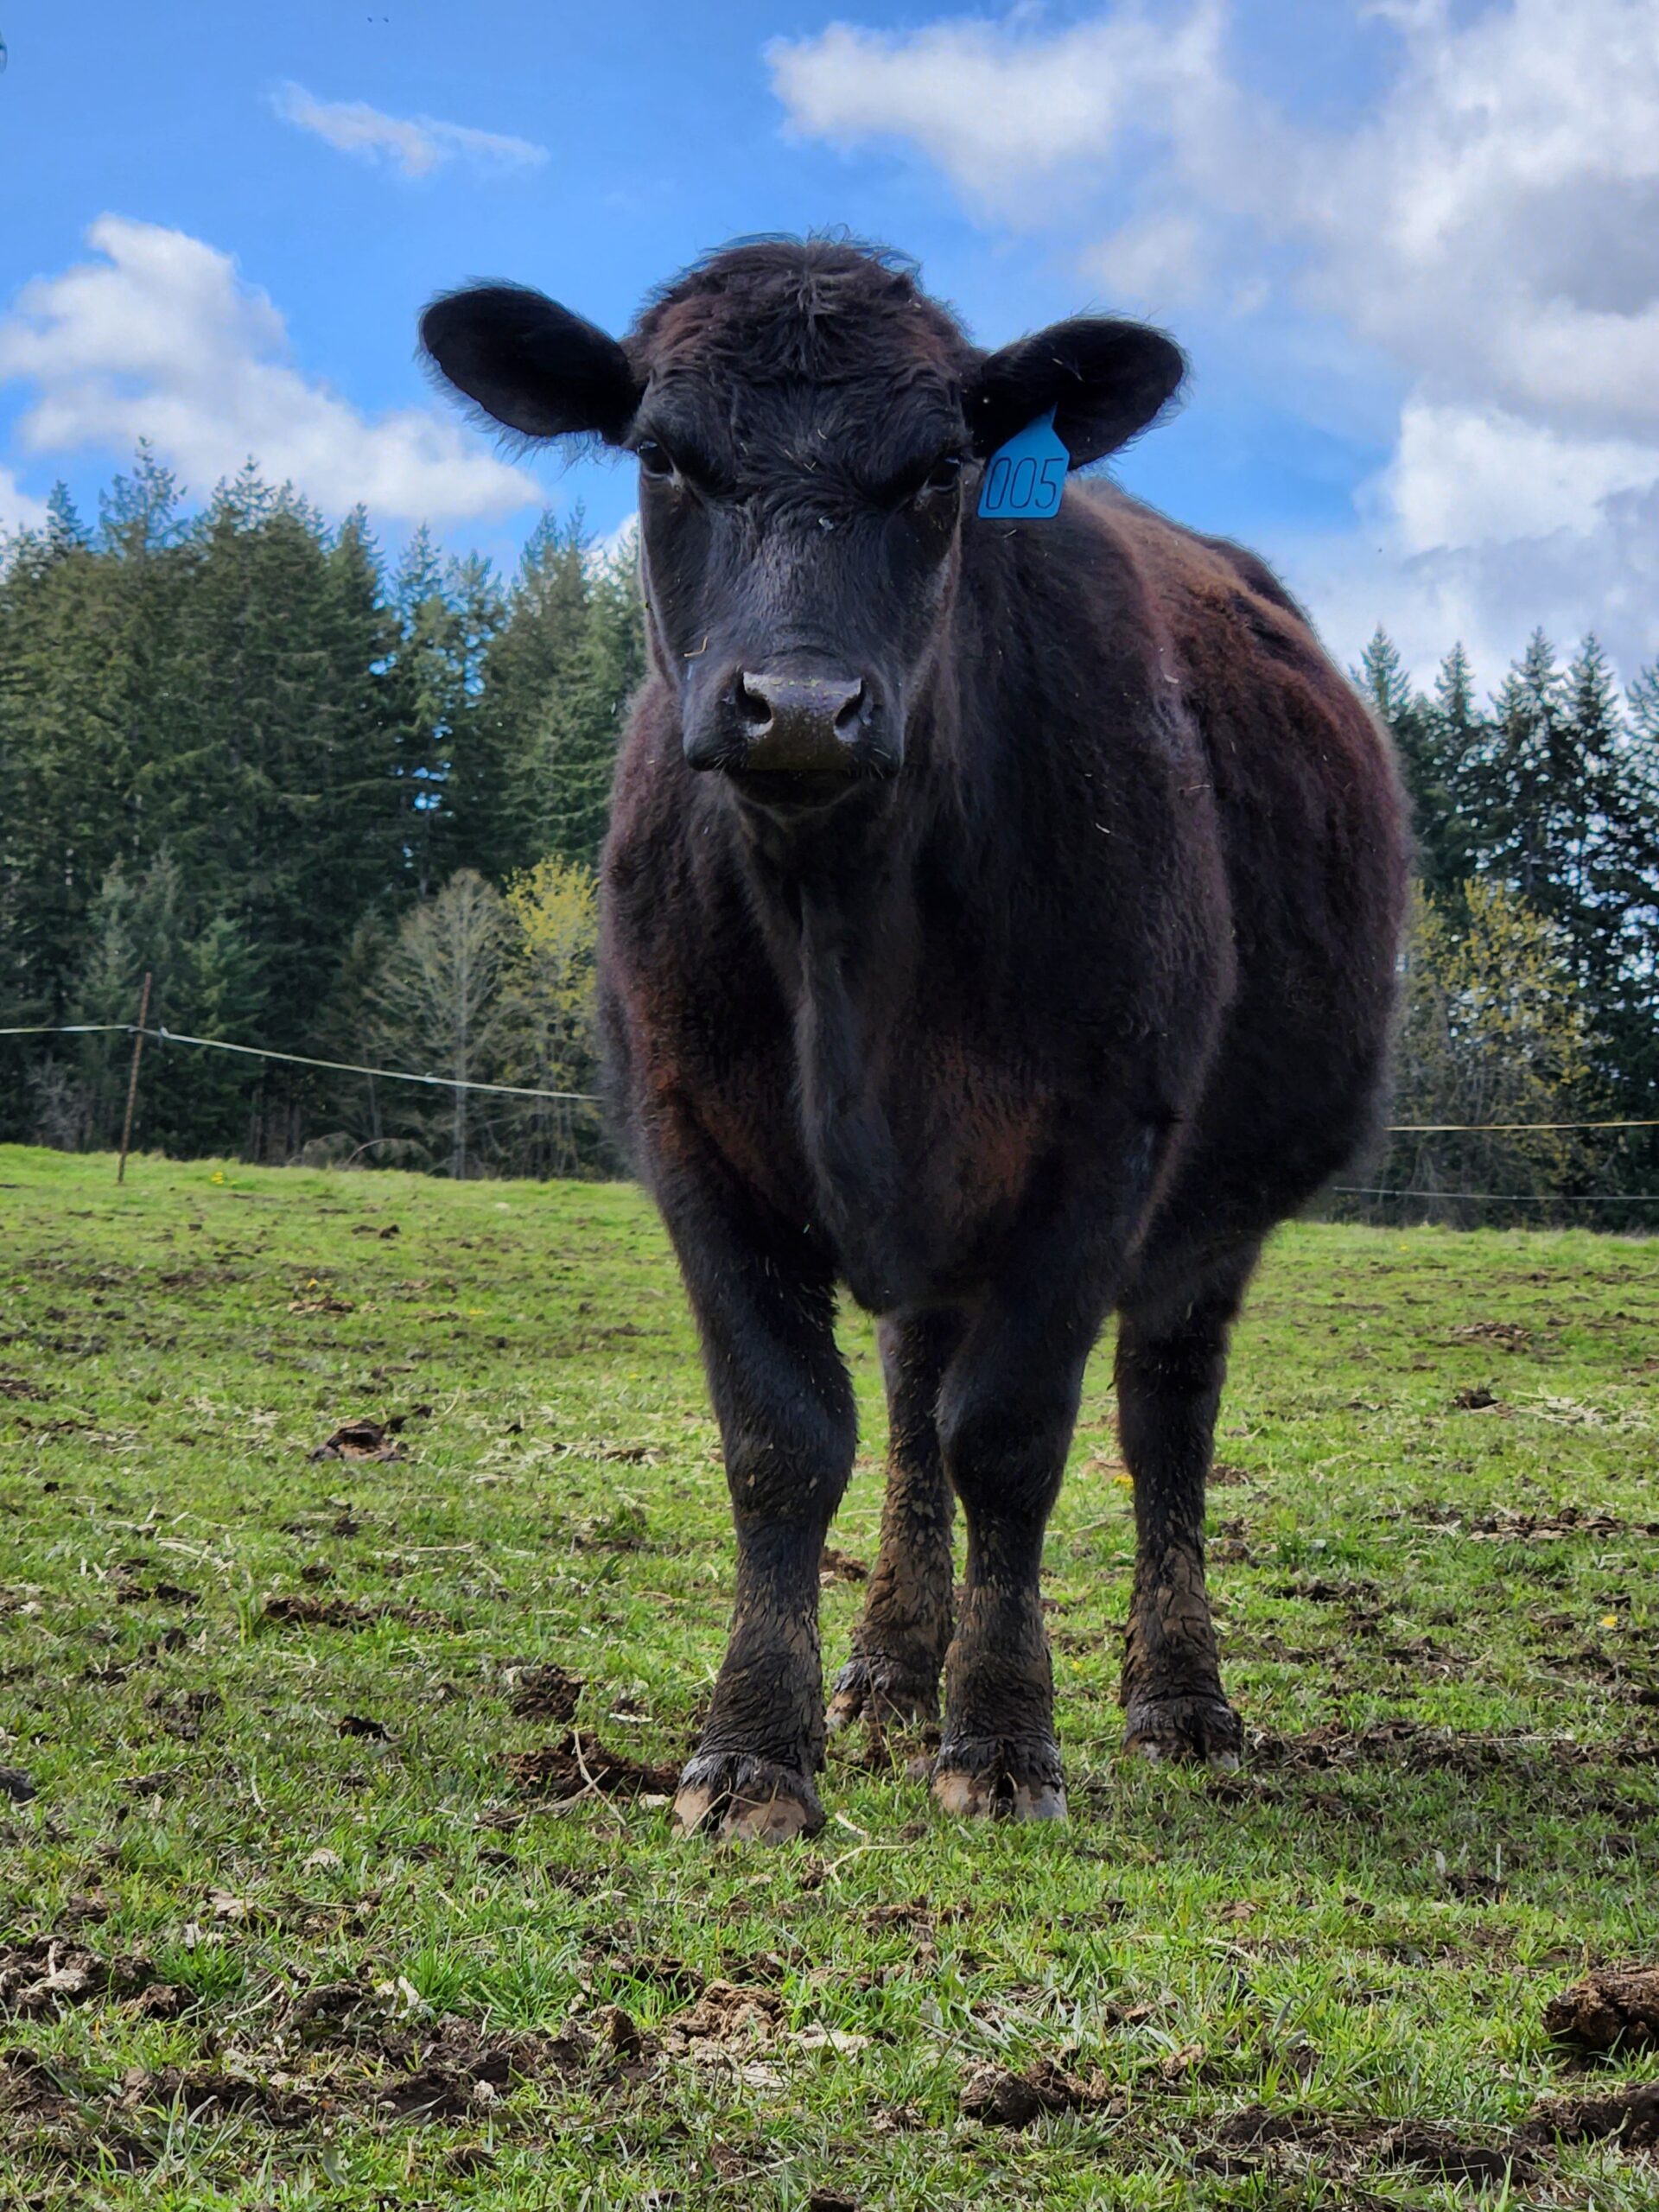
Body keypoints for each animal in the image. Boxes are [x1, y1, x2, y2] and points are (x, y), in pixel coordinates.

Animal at [421, 238, 1409, 1840]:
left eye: (943, 466)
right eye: (661, 455)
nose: (799, 703)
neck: (846, 931)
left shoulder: (1102, 1144)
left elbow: (1010, 1436)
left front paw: (1002, 1738)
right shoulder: (690, 1134)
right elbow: (787, 1436)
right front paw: (755, 1748)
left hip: (1212, 1217)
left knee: (1163, 1416)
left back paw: (1178, 1696)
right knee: (907, 1395)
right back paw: (890, 1664)